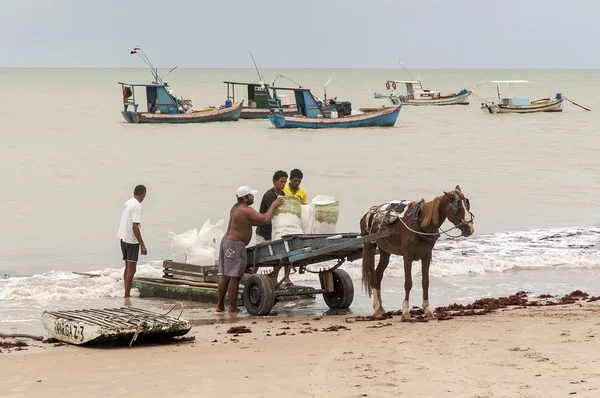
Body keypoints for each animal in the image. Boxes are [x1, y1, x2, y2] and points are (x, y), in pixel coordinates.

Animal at [360, 186, 474, 320]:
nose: (471, 229)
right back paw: (377, 309)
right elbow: (408, 283)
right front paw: (405, 312)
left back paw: (381, 308)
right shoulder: (407, 257)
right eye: (458, 208)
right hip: (369, 246)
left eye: (467, 206)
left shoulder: (427, 255)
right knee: (373, 277)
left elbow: (425, 282)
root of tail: (369, 214)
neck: (420, 224)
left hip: (385, 251)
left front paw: (427, 310)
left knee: (378, 275)